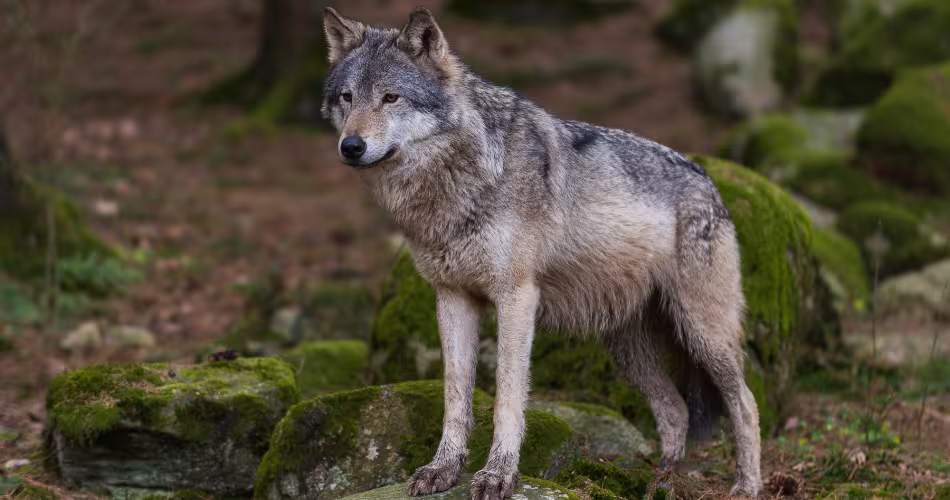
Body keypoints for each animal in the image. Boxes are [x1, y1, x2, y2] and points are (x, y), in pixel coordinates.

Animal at [321, 7, 762, 499]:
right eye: (347, 97)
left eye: (391, 97)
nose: (351, 146)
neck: (462, 178)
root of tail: (709, 182)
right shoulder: (452, 298)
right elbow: (455, 397)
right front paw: (442, 469)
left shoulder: (516, 298)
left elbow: (508, 398)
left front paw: (498, 475)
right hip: (629, 350)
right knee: (675, 409)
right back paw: (659, 481)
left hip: (703, 333)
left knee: (745, 403)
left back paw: (746, 485)